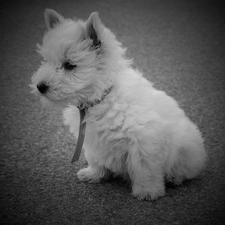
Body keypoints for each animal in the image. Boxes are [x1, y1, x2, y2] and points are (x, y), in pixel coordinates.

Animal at [30, 9, 207, 200]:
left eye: (70, 65)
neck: (102, 97)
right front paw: (94, 175)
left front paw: (147, 191)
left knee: (186, 170)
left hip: (186, 147)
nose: (40, 86)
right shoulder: (92, 140)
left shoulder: (143, 140)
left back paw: (175, 178)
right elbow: (95, 159)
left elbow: (144, 169)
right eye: (46, 60)